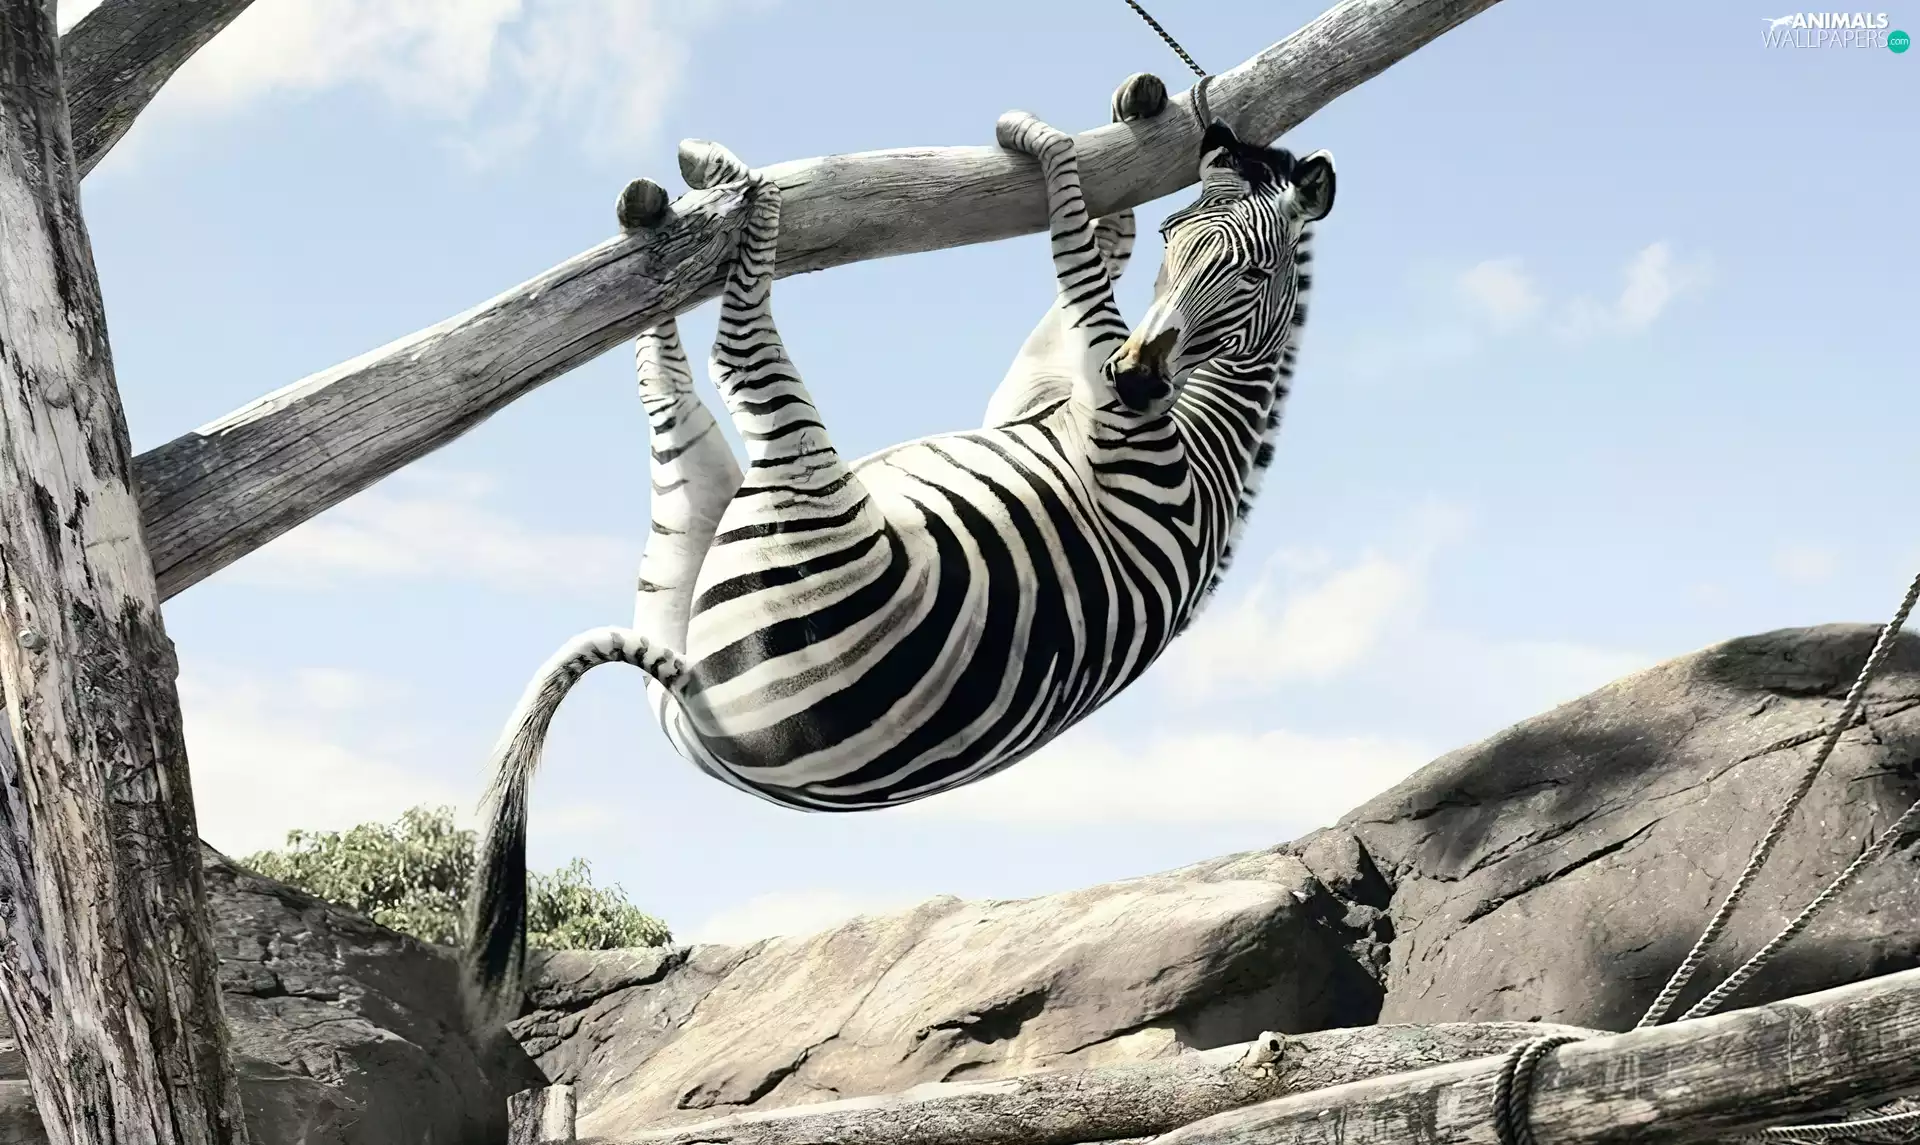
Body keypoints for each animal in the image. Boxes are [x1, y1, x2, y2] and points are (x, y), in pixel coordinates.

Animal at [462, 72, 1335, 1022]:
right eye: (1181, 238)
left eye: (1253, 271)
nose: (1140, 378)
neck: (1206, 436)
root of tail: (697, 700)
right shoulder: (1038, 391)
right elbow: (1093, 255)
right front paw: (1109, 133)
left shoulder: (1109, 415)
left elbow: (1074, 257)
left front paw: (1038, 139)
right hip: (683, 538)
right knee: (667, 383)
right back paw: (662, 218)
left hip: (793, 493)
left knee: (737, 348)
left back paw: (739, 187)